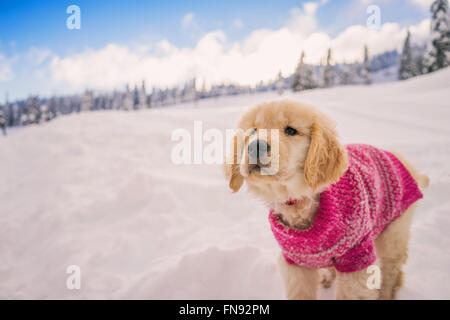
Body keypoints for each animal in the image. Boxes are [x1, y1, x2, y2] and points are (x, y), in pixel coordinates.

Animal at [224, 100, 428, 300]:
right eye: (252, 131)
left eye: (290, 130)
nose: (255, 146)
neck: (298, 201)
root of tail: (399, 158)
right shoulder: (296, 264)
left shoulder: (356, 258)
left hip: (394, 231)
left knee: (391, 270)